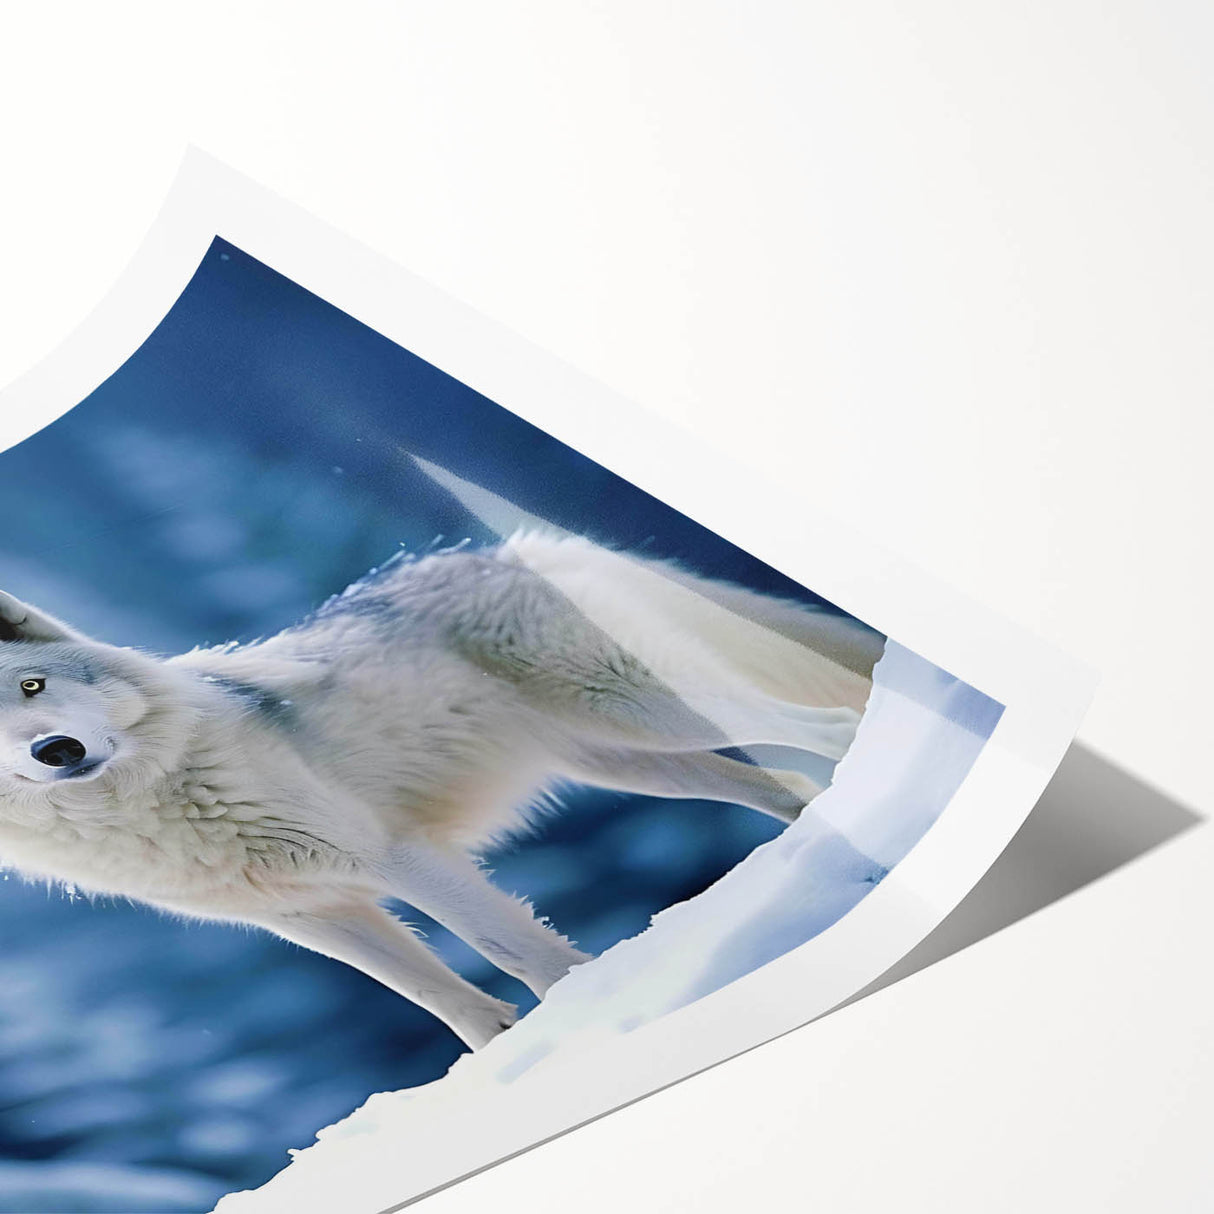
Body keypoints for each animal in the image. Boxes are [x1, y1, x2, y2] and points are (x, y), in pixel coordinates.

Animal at [0, 532, 882, 1048]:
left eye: (34, 686)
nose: (58, 751)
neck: (143, 804)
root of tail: (506, 547)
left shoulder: (392, 857)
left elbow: (507, 947)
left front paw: (577, 1014)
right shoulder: (314, 914)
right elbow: (431, 995)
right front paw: (496, 1055)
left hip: (643, 715)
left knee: (831, 725)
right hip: (635, 763)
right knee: (784, 781)